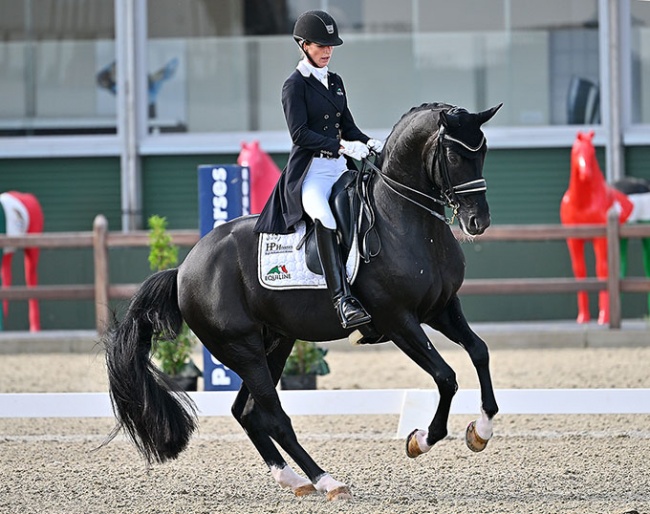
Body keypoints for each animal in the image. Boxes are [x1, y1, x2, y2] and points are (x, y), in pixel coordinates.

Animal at [105, 101, 502, 500]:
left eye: (483, 150)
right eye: (453, 154)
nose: (477, 221)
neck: (403, 219)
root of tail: (184, 269)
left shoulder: (441, 308)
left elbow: (479, 352)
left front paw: (480, 432)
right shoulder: (398, 320)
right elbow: (446, 376)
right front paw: (421, 439)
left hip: (275, 343)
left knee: (246, 411)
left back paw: (293, 480)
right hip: (242, 349)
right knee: (274, 417)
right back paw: (327, 480)